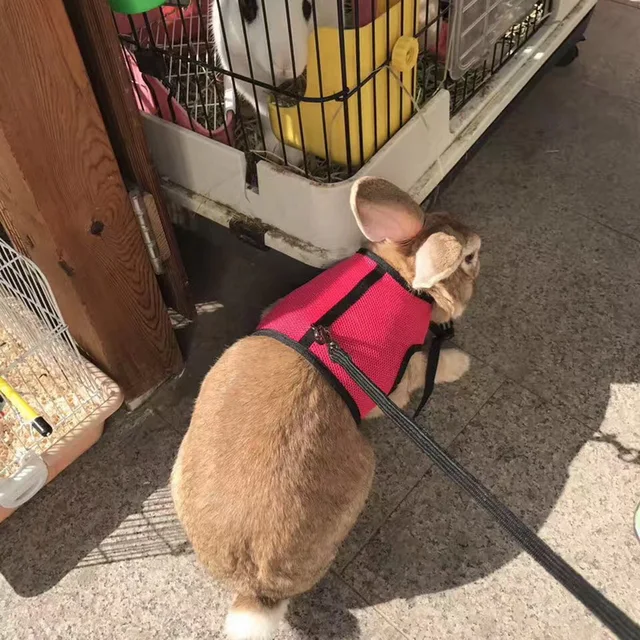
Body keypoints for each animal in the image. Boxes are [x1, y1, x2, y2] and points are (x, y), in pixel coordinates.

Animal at [171, 177, 481, 640]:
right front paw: (460, 363)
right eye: (469, 257)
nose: (483, 245)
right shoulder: (396, 378)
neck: (401, 272)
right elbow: (426, 368)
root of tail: (254, 589)